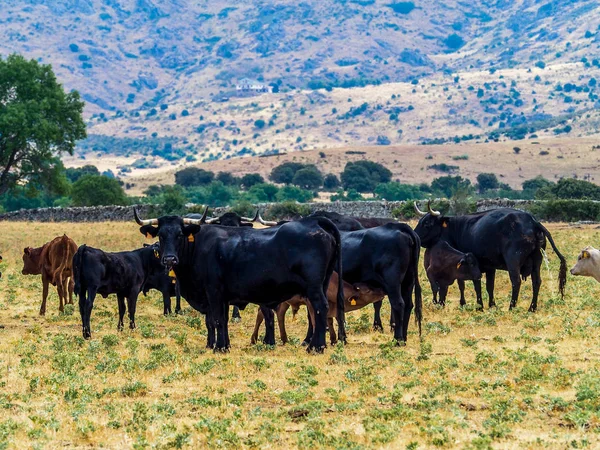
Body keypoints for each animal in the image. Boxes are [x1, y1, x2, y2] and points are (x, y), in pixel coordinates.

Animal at [134, 209, 344, 354]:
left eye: (179, 234)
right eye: (161, 235)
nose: (169, 259)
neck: (199, 247)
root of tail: (315, 222)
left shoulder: (214, 293)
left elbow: (217, 320)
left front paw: (219, 347)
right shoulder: (222, 297)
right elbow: (222, 320)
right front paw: (225, 345)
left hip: (313, 288)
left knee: (320, 308)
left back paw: (316, 347)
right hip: (322, 284)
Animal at [252, 270, 384, 344]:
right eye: (368, 291)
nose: (382, 292)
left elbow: (331, 320)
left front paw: (334, 339)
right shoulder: (311, 304)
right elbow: (315, 321)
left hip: (284, 301)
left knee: (279, 313)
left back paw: (284, 339)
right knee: (262, 314)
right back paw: (255, 339)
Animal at [412, 202, 568, 312]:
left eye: (427, 223)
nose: (415, 237)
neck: (458, 228)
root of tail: (532, 221)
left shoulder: (472, 266)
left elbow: (472, 285)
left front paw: (477, 306)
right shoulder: (489, 267)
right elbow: (489, 286)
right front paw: (491, 305)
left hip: (513, 261)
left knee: (516, 281)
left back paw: (511, 307)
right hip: (537, 261)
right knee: (536, 282)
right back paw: (532, 308)